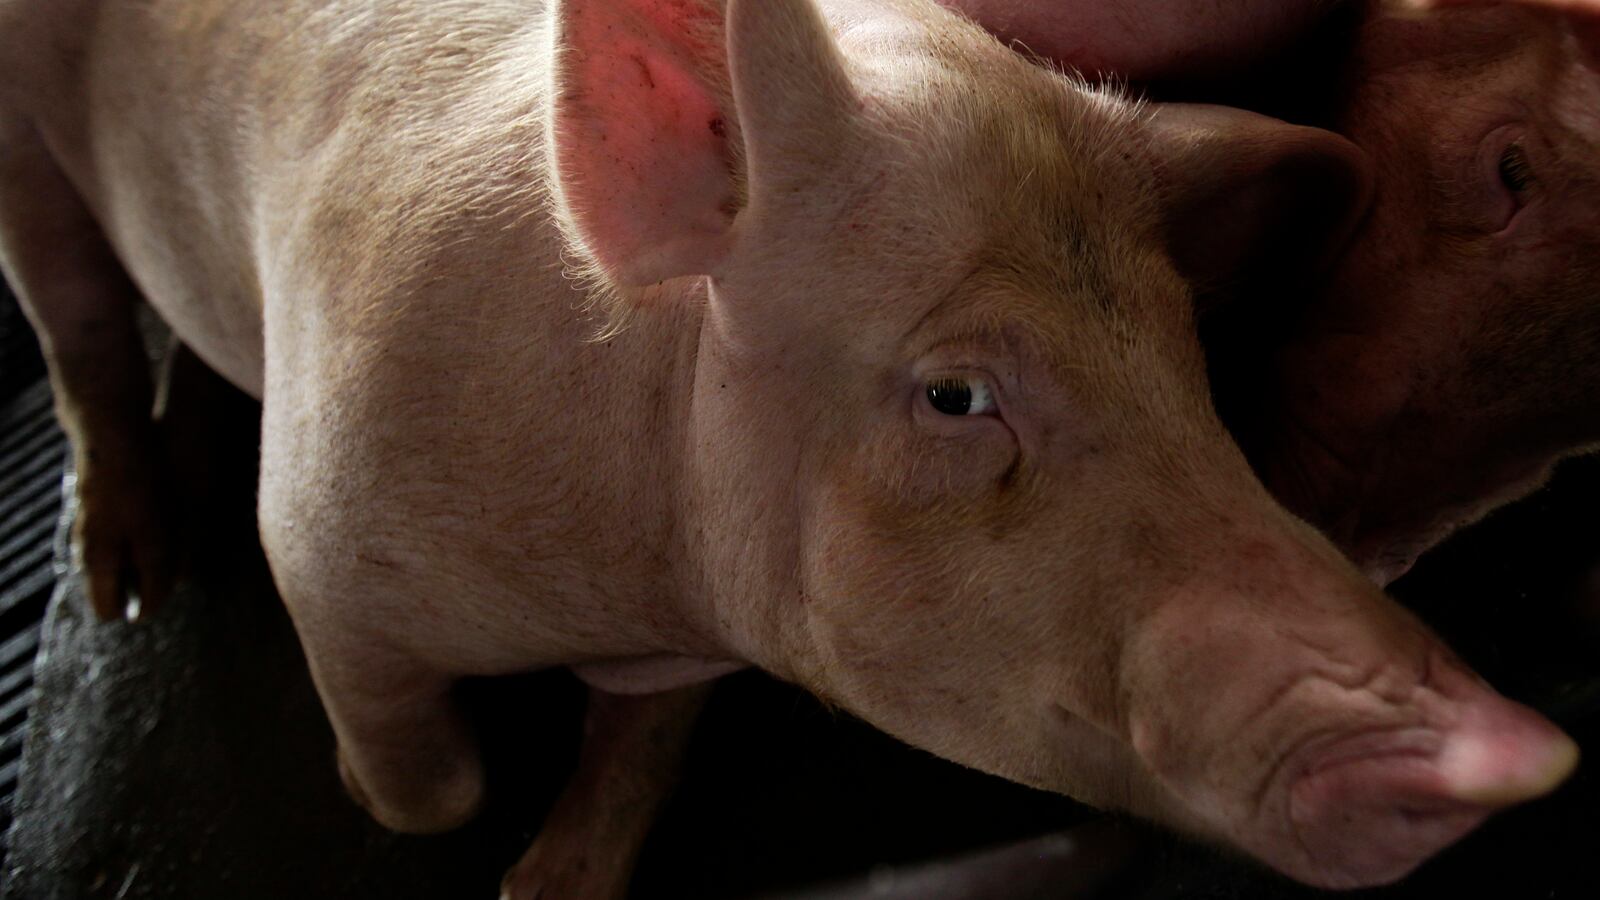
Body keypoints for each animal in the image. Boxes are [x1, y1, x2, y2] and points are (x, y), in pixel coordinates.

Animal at [0, 0, 1578, 897]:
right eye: (956, 398)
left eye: (1187, 364)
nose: (1523, 750)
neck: (631, 575)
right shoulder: (320, 555)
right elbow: (424, 785)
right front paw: (417, 815)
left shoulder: (687, 642)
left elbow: (636, 756)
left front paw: (548, 879)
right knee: (74, 324)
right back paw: (128, 582)